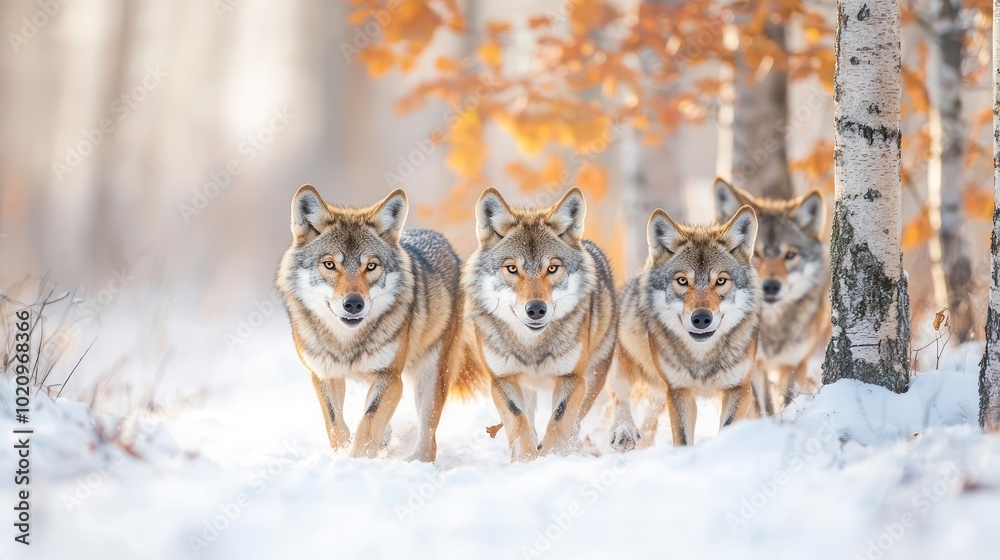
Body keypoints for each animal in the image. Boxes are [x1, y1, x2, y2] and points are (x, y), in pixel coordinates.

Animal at [276, 185, 484, 462]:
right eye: (329, 264)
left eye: (371, 266)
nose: (354, 303)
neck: (347, 343)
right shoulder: (324, 375)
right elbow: (336, 426)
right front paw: (343, 453)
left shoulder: (390, 376)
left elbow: (368, 423)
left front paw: (356, 461)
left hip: (430, 376)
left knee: (428, 440)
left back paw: (413, 462)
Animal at [463, 187, 618, 462]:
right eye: (512, 268)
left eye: (552, 268)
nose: (536, 309)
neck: (532, 347)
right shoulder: (502, 379)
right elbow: (519, 421)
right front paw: (525, 461)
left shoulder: (573, 378)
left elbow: (559, 422)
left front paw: (552, 457)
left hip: (593, 378)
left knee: (575, 422)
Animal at [610, 198, 761, 449]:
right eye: (682, 280)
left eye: (721, 281)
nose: (701, 318)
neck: (702, 358)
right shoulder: (678, 390)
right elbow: (681, 439)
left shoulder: (740, 389)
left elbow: (727, 428)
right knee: (619, 393)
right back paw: (624, 432)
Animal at [715, 179, 828, 415]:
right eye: (755, 254)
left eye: (790, 255)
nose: (771, 286)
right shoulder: (753, 366)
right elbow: (764, 408)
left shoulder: (794, 363)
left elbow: (787, 400)